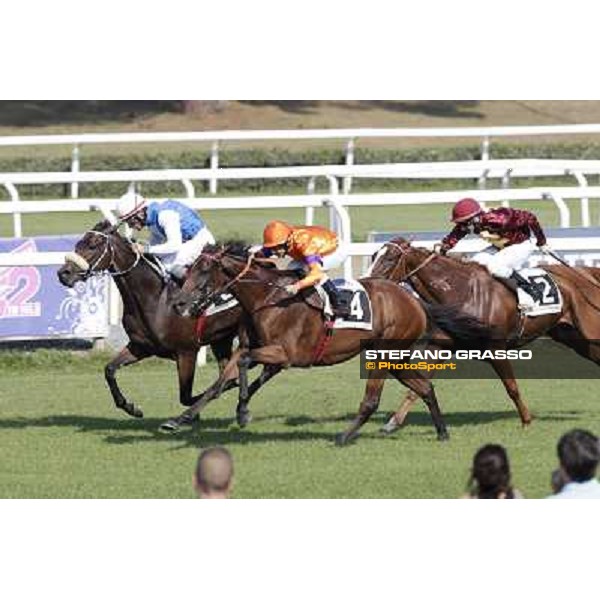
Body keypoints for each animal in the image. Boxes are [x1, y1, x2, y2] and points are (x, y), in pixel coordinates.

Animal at [166, 241, 494, 442]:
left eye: (204, 270)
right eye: (190, 268)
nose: (179, 303)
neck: (267, 297)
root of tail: (413, 300)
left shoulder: (286, 354)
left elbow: (245, 365)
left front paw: (243, 411)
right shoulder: (252, 347)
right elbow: (221, 381)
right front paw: (181, 419)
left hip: (383, 353)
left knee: (372, 400)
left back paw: (344, 436)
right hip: (396, 357)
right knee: (425, 387)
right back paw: (441, 432)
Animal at [368, 236, 600, 432]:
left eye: (390, 258)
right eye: (373, 256)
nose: (368, 283)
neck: (462, 292)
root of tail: (588, 274)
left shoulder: (496, 350)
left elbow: (512, 387)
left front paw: (526, 421)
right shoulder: (440, 345)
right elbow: (418, 385)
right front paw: (393, 422)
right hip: (573, 338)